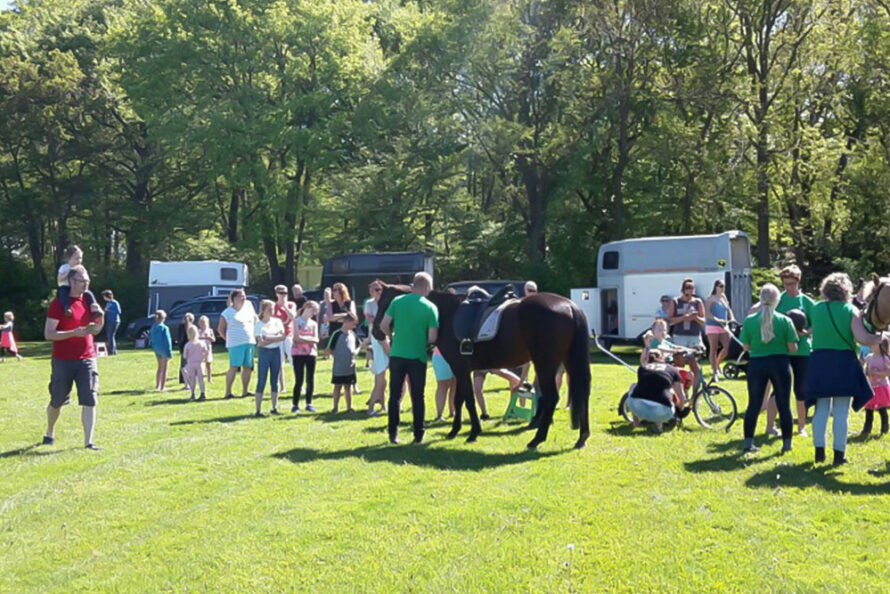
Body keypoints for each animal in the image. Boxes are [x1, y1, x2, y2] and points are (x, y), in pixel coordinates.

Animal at [368, 284, 588, 446]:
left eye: (384, 303)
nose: (376, 331)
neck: (446, 313)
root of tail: (570, 306)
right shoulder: (460, 370)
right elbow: (458, 400)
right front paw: (454, 431)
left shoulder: (460, 369)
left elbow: (468, 399)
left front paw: (473, 432)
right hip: (565, 363)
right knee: (580, 395)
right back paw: (581, 438)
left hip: (545, 365)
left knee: (551, 398)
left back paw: (537, 439)